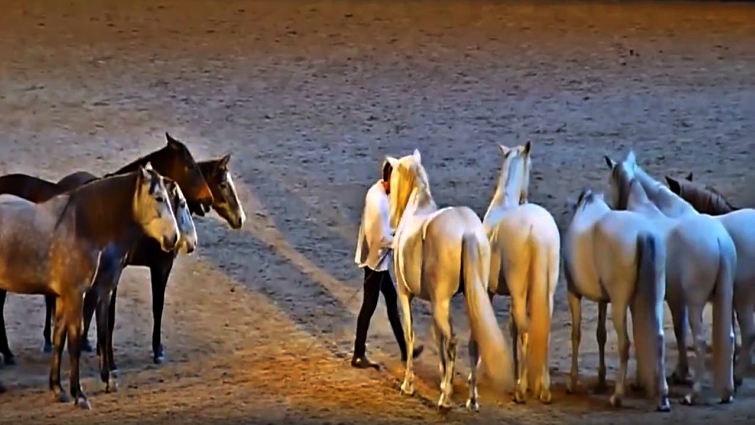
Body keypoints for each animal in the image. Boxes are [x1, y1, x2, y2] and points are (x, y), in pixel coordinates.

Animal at [0, 164, 180, 409]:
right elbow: (75, 341)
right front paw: (79, 394)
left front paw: (58, 389)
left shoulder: (69, 296)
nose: (174, 238)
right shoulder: (77, 294)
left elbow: (60, 339)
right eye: (159, 197)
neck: (80, 226)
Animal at [385, 149, 514, 411]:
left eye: (393, 181)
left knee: (453, 341)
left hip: (440, 302)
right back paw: (472, 399)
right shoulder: (434, 303)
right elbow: (438, 338)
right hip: (466, 300)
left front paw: (409, 385)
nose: (392, 221)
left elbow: (411, 336)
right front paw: (446, 382)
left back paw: (444, 400)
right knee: (473, 342)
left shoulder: (405, 294)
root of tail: (467, 231)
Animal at [481, 141, 560, 404]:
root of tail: (536, 230)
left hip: (518, 290)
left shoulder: (489, 289)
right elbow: (513, 326)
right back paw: (543, 389)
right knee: (542, 328)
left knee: (525, 330)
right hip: (547, 290)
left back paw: (520, 389)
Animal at [563, 188, 669, 411]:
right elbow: (600, 334)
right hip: (654, 298)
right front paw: (601, 379)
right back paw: (663, 398)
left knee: (624, 343)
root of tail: (642, 232)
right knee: (659, 338)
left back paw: (617, 396)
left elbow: (576, 334)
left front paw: (572, 383)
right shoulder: (603, 300)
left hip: (620, 303)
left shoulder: (573, 293)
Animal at [605, 152, 736, 405]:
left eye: (609, 183)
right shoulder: (675, 298)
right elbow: (677, 330)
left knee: (701, 340)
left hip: (696, 303)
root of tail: (718, 240)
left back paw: (693, 394)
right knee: (730, 337)